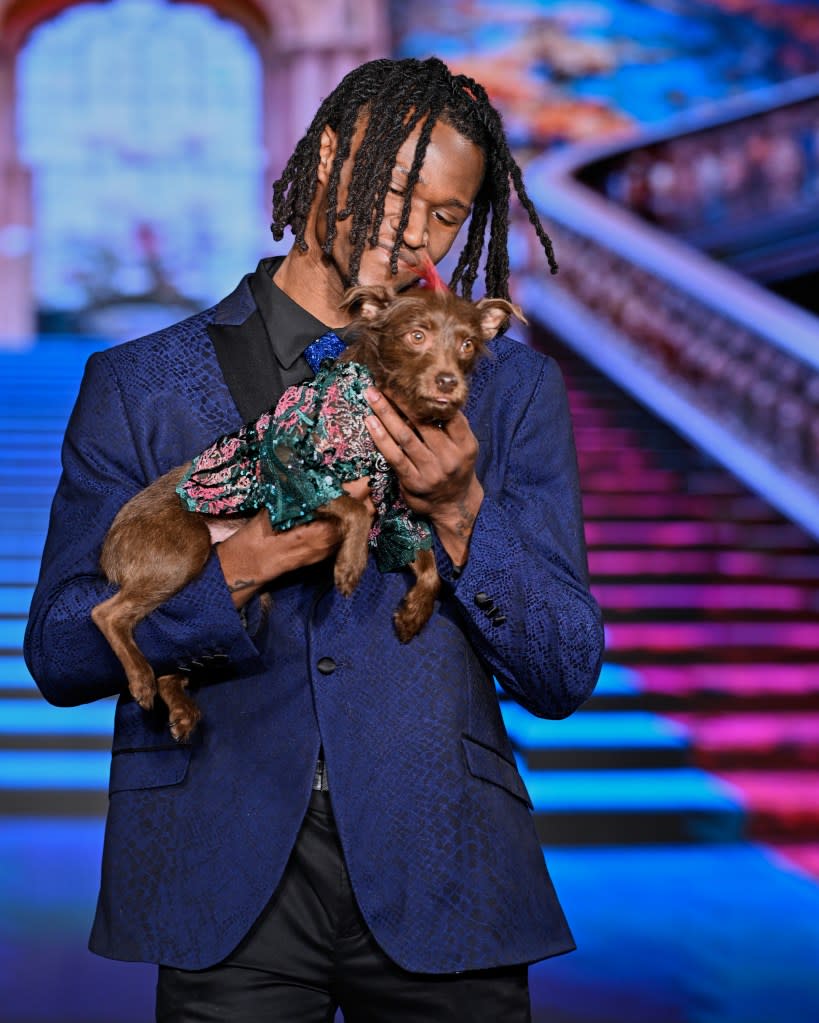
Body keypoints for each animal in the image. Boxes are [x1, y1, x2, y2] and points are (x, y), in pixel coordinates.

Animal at [91, 284, 523, 740]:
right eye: (416, 336)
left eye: (468, 344)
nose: (447, 381)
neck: (374, 401)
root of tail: (110, 545)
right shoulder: (293, 469)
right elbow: (354, 510)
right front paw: (350, 565)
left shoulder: (395, 505)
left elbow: (426, 563)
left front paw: (413, 614)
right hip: (183, 553)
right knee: (108, 614)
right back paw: (140, 678)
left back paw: (178, 706)